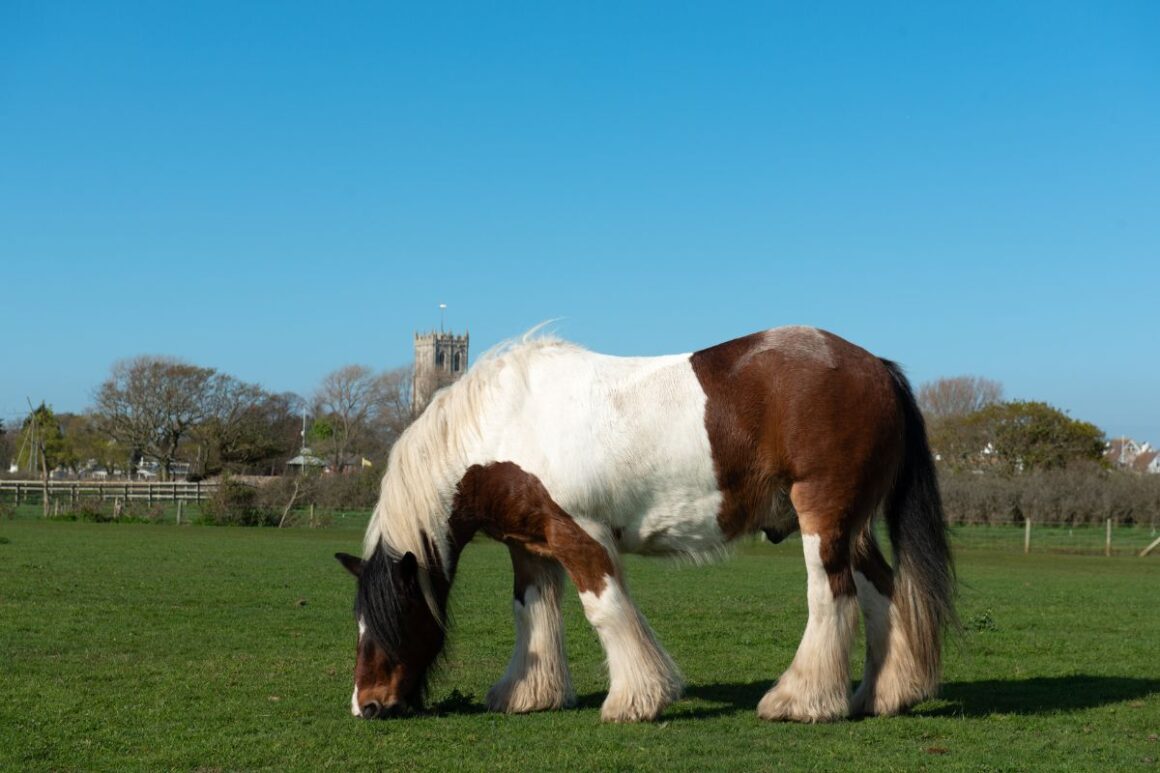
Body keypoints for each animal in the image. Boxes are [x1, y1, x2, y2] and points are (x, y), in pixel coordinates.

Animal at [334, 324, 951, 724]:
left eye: (390, 617)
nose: (367, 705)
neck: (505, 424)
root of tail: (877, 367)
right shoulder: (530, 545)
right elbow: (530, 613)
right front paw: (527, 694)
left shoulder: (579, 535)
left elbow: (605, 610)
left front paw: (636, 700)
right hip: (853, 526)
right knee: (880, 592)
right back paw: (881, 696)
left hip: (823, 518)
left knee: (832, 595)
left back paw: (800, 702)